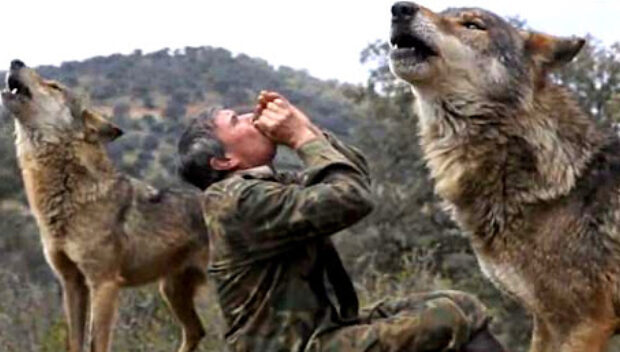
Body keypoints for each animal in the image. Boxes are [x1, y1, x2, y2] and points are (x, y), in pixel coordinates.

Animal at [0, 60, 211, 352]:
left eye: (54, 86)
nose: (15, 62)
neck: (70, 195)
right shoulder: (72, 283)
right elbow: (74, 343)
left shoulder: (104, 283)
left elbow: (96, 344)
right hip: (170, 291)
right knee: (196, 331)